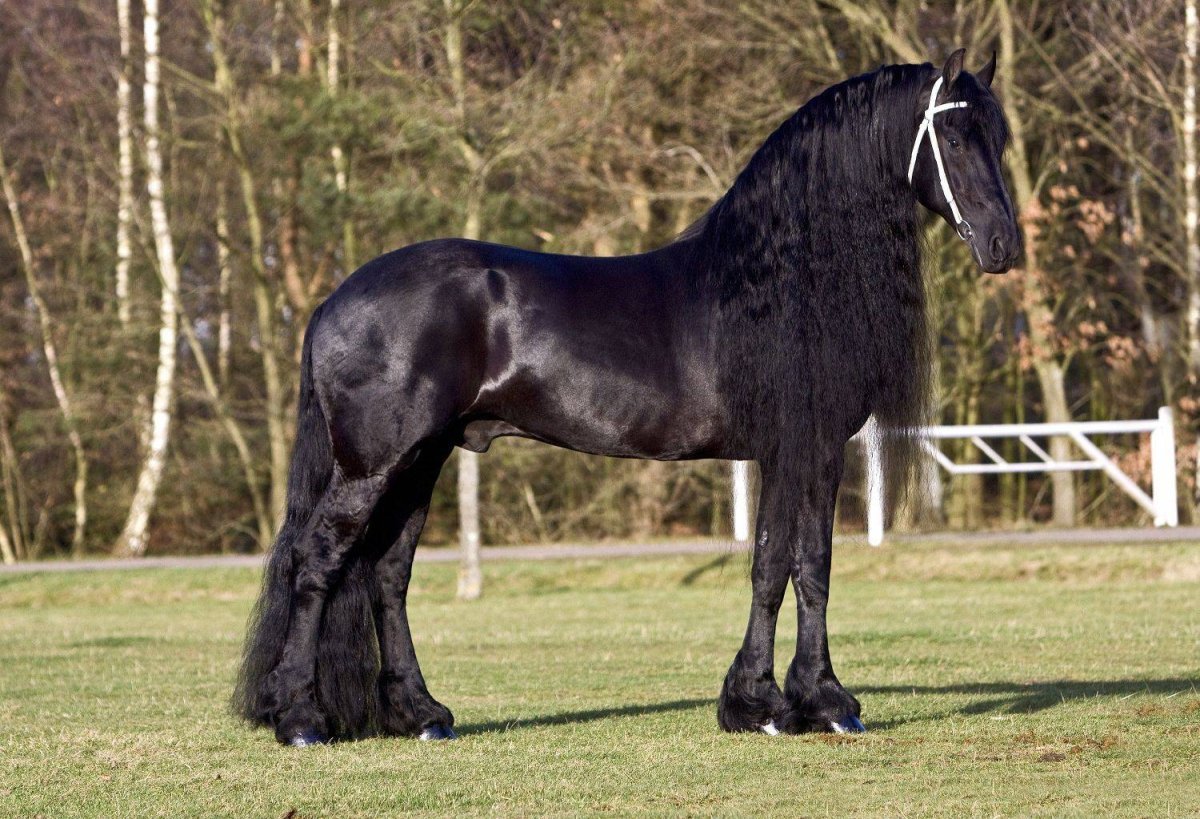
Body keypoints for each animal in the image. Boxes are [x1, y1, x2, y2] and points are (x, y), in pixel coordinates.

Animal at [234, 48, 1020, 746]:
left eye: (1001, 138)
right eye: (954, 136)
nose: (1003, 246)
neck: (780, 280)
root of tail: (332, 300)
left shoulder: (803, 449)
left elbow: (800, 565)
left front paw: (802, 701)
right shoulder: (802, 444)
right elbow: (785, 565)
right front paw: (781, 704)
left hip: (421, 460)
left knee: (386, 574)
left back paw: (422, 713)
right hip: (375, 464)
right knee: (318, 561)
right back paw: (301, 719)